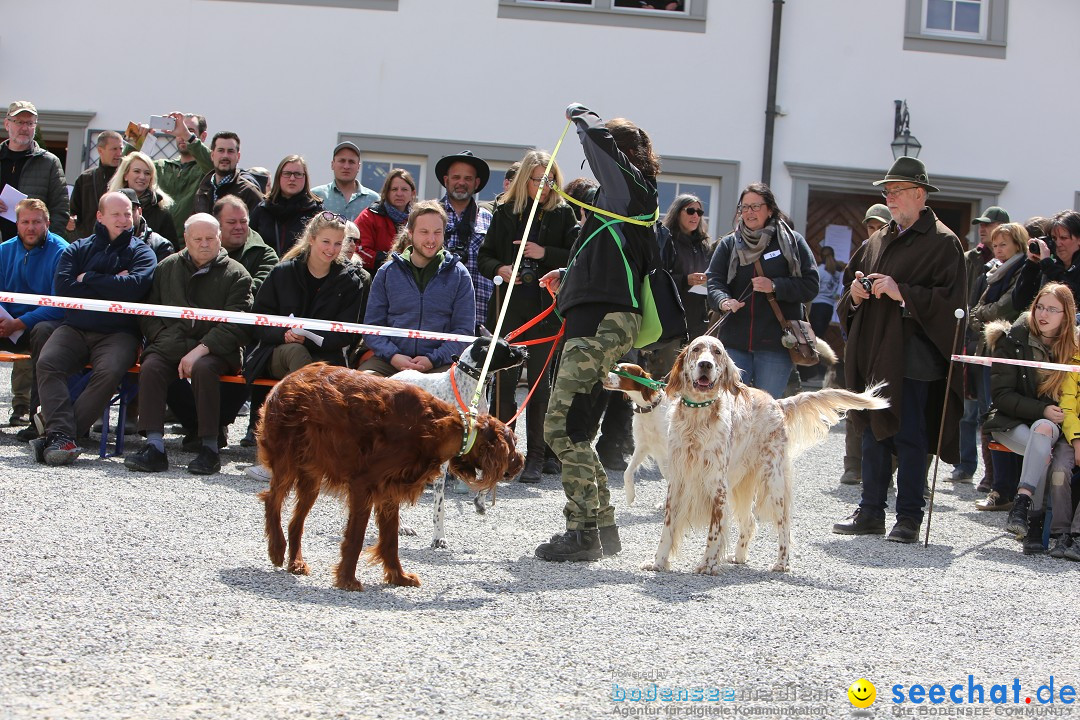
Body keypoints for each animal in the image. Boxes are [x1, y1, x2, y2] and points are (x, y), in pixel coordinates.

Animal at [253, 367, 522, 591]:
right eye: (513, 446)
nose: (521, 462)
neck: (438, 427)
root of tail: (287, 379)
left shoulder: (390, 490)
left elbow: (391, 540)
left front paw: (399, 577)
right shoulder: (363, 485)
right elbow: (356, 538)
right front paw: (348, 580)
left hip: (311, 476)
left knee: (295, 522)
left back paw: (296, 562)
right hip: (288, 462)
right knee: (272, 500)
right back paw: (277, 549)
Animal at [604, 360, 669, 507]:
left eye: (624, 371)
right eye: (615, 367)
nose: (603, 377)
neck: (649, 409)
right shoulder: (643, 446)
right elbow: (627, 472)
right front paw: (630, 496)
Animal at [639, 334, 885, 574]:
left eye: (717, 352)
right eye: (696, 349)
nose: (705, 364)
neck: (697, 419)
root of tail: (776, 403)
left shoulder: (718, 485)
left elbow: (714, 532)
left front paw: (707, 565)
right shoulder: (678, 481)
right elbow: (667, 528)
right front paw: (658, 562)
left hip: (774, 483)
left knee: (784, 525)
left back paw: (782, 563)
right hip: (741, 486)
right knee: (749, 522)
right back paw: (739, 557)